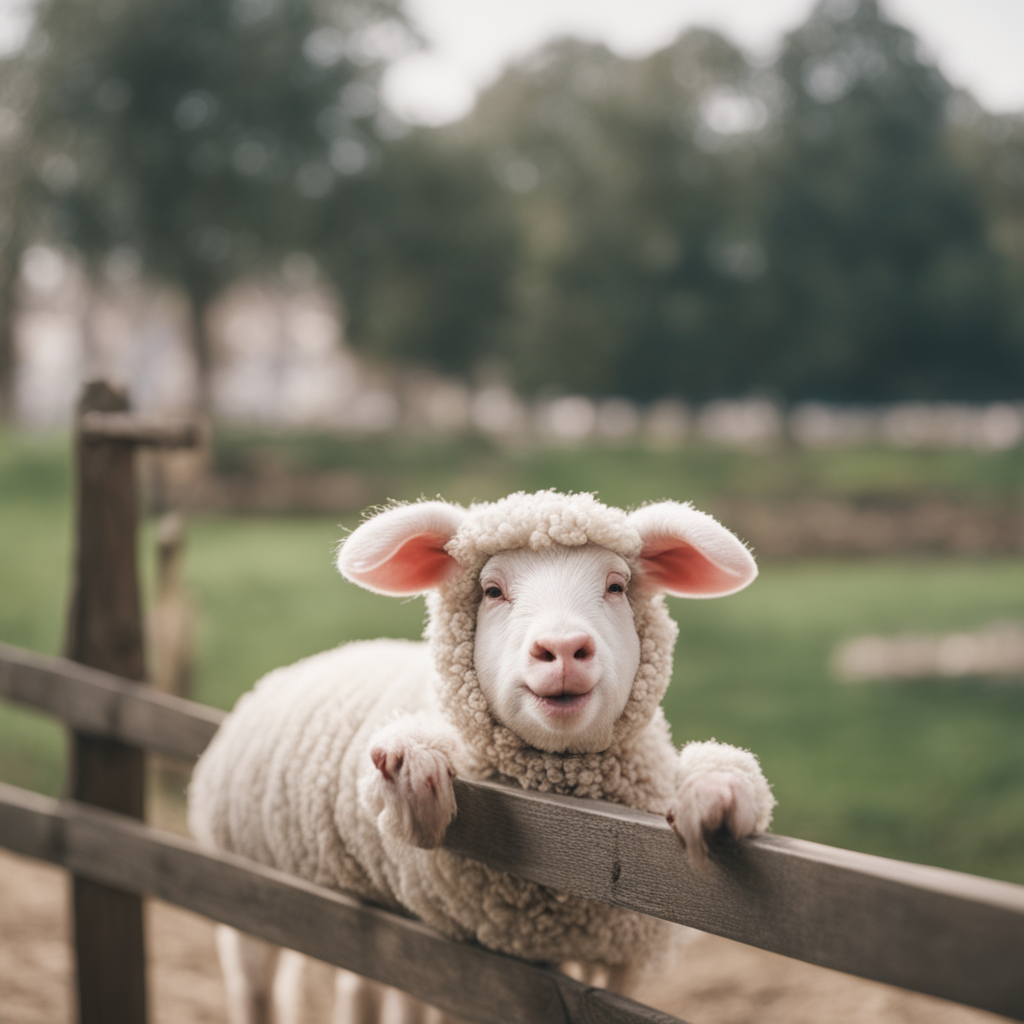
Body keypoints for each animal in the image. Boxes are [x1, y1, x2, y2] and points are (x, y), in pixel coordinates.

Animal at [188, 490, 775, 1024]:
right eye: (492, 590)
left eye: (617, 585)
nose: (563, 648)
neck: (572, 829)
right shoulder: (476, 965)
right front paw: (417, 771)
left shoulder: (623, 955)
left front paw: (717, 794)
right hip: (244, 885)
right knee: (256, 990)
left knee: (362, 988)